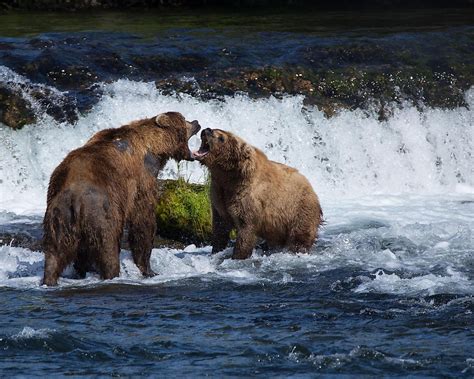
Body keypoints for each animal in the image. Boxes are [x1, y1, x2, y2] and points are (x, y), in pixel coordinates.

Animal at [41, 112, 202, 284]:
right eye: (185, 121)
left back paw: (52, 278)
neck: (154, 148)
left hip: (58, 217)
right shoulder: (142, 178)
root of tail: (74, 198)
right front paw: (149, 269)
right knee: (108, 246)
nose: (196, 122)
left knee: (54, 253)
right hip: (100, 211)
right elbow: (143, 219)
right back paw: (112, 273)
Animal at [193, 129, 322, 260]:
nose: (206, 130)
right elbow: (220, 227)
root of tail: (312, 188)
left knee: (299, 235)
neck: (228, 175)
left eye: (221, 138)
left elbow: (246, 228)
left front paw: (238, 255)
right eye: (214, 130)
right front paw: (216, 250)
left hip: (298, 209)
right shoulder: (219, 194)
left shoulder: (247, 196)